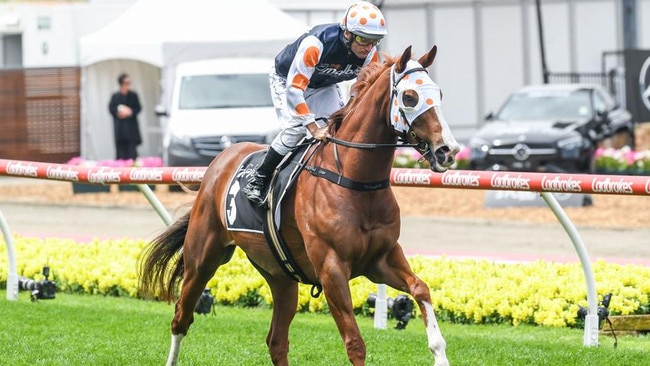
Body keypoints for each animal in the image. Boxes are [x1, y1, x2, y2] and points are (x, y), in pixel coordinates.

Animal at [139, 46, 458, 366]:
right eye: (409, 97)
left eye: (440, 93)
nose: (448, 150)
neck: (354, 180)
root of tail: (221, 160)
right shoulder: (331, 268)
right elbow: (355, 343)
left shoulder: (381, 259)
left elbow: (421, 288)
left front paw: (440, 353)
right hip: (202, 258)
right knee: (181, 318)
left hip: (280, 276)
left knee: (276, 340)